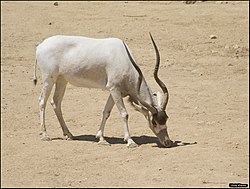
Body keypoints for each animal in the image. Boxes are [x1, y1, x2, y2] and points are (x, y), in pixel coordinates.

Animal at [33, 32, 173, 148]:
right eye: (154, 122)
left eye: (166, 119)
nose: (167, 142)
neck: (124, 58)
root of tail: (40, 46)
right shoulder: (114, 89)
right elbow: (124, 114)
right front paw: (130, 141)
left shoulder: (116, 91)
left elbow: (106, 112)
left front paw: (101, 138)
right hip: (49, 78)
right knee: (42, 101)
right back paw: (45, 135)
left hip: (62, 80)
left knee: (56, 103)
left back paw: (69, 134)